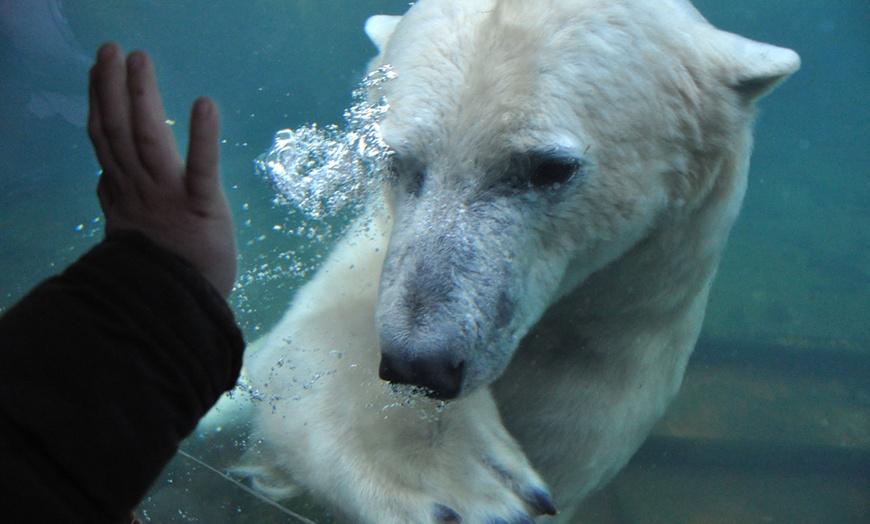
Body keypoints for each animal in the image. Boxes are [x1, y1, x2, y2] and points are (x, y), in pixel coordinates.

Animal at [230, 1, 796, 524]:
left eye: (552, 168)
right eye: (393, 159)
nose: (419, 362)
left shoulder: (623, 334)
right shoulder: (373, 248)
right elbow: (307, 343)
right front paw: (458, 481)